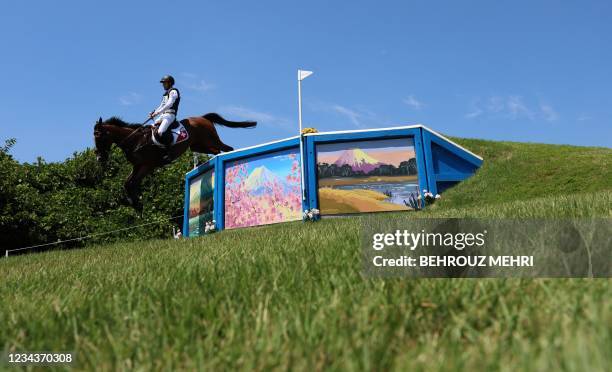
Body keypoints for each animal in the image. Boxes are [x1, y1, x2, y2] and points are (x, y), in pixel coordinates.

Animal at [92, 112, 255, 209]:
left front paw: (137, 204)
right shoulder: (137, 166)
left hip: (211, 140)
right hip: (199, 145)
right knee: (217, 151)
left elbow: (133, 183)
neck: (135, 140)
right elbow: (127, 183)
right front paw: (135, 204)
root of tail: (202, 117)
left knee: (226, 148)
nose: (100, 158)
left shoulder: (147, 166)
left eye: (99, 136)